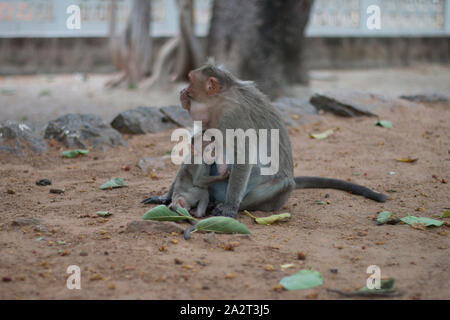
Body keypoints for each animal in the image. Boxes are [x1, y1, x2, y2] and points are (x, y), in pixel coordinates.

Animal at [143, 62, 386, 218]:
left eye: (190, 81)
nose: (182, 90)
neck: (221, 101)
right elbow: (196, 151)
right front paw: (165, 197)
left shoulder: (232, 117)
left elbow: (244, 156)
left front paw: (229, 208)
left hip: (278, 194)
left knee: (278, 184)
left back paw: (220, 205)